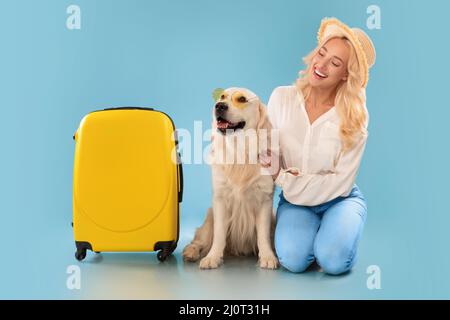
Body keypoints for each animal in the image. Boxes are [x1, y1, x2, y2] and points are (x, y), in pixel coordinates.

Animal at [183, 87, 278, 270]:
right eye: (222, 96)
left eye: (242, 99)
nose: (219, 106)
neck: (239, 150)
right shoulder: (220, 200)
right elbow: (219, 235)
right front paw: (212, 257)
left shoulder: (264, 200)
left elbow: (263, 235)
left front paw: (268, 257)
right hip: (209, 217)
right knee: (198, 240)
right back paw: (190, 252)